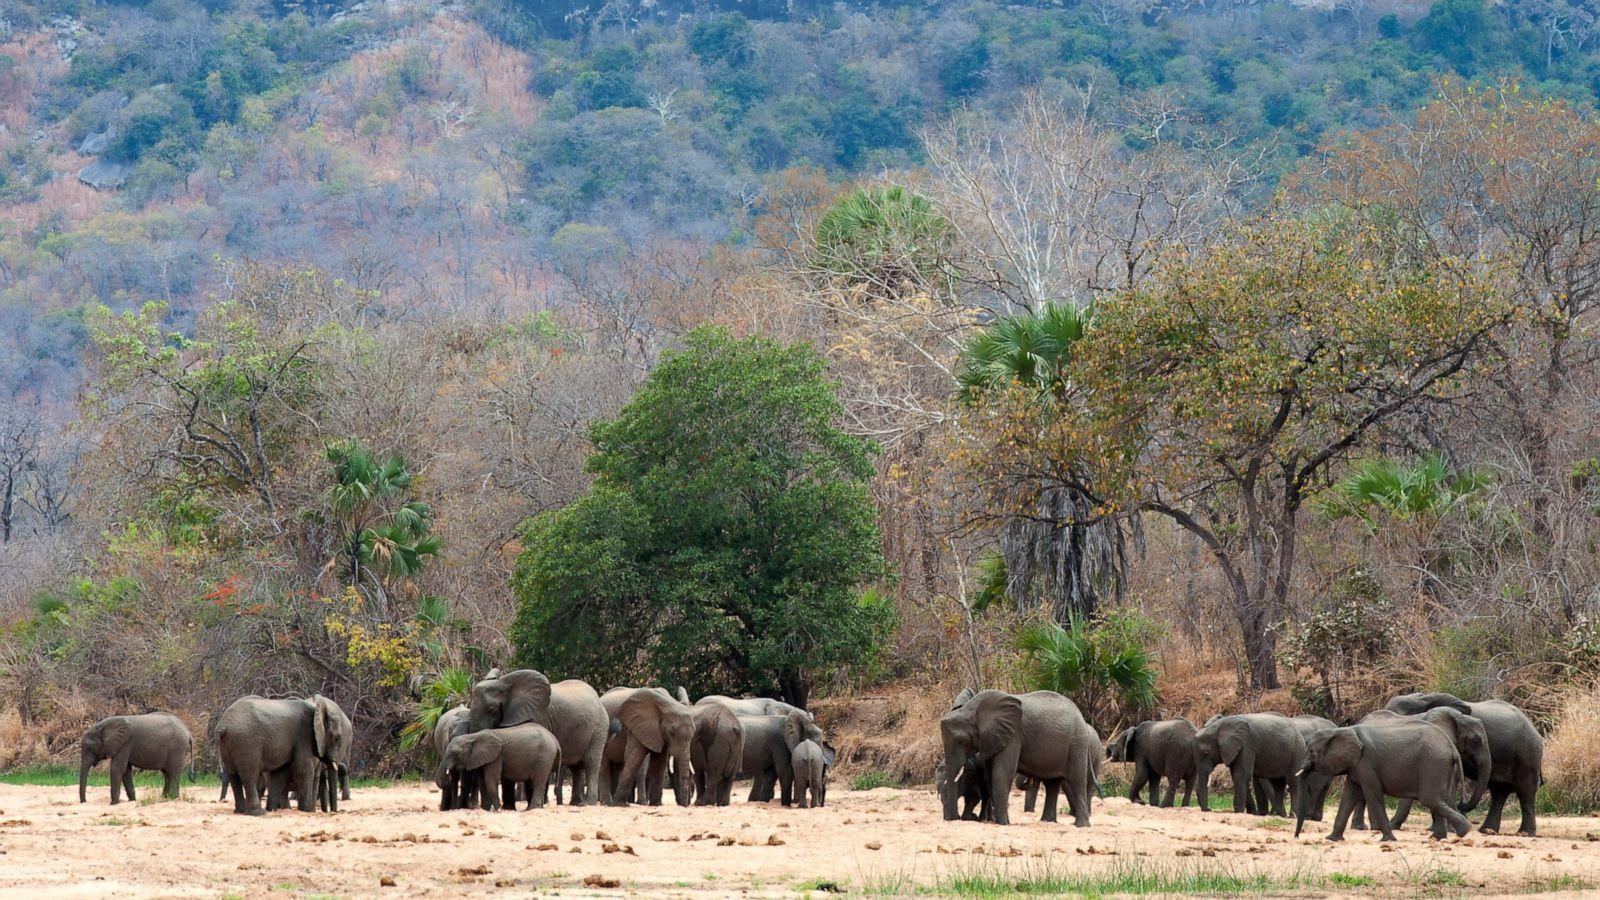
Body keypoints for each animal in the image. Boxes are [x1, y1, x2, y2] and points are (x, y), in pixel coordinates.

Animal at [216, 695, 347, 815]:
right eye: (337, 738)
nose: (333, 812)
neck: (317, 709)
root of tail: (223, 726)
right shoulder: (304, 737)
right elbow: (303, 769)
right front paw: (306, 811)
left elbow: (279, 774)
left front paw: (272, 809)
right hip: (247, 741)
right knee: (249, 775)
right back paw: (258, 813)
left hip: (230, 743)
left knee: (233, 776)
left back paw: (241, 811)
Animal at [467, 670, 608, 806]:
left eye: (492, 709)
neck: (505, 683)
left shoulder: (537, 715)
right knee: (576, 767)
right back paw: (576, 803)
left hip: (600, 728)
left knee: (591, 762)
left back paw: (587, 804)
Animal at [938, 689, 1094, 826]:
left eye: (961, 741)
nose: (955, 819)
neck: (971, 709)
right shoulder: (991, 739)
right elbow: (989, 777)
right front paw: (1004, 821)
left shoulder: (1013, 736)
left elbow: (1001, 775)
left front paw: (1003, 823)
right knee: (1052, 784)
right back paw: (1048, 822)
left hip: (1077, 743)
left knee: (1077, 780)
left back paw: (1081, 825)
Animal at [1294, 721, 1471, 842]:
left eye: (1311, 751)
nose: (1296, 837)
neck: (1341, 730)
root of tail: (1452, 748)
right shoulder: (1356, 766)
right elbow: (1349, 796)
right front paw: (1331, 839)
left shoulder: (1366, 763)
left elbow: (1373, 795)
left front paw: (1388, 840)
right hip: (1443, 766)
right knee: (1441, 800)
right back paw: (1438, 838)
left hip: (1433, 763)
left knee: (1431, 798)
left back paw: (1464, 831)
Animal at [1385, 692, 1543, 835]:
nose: (1461, 804)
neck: (1423, 698)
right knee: (1499, 791)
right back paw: (1487, 831)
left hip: (1528, 753)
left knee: (1525, 791)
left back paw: (1525, 833)